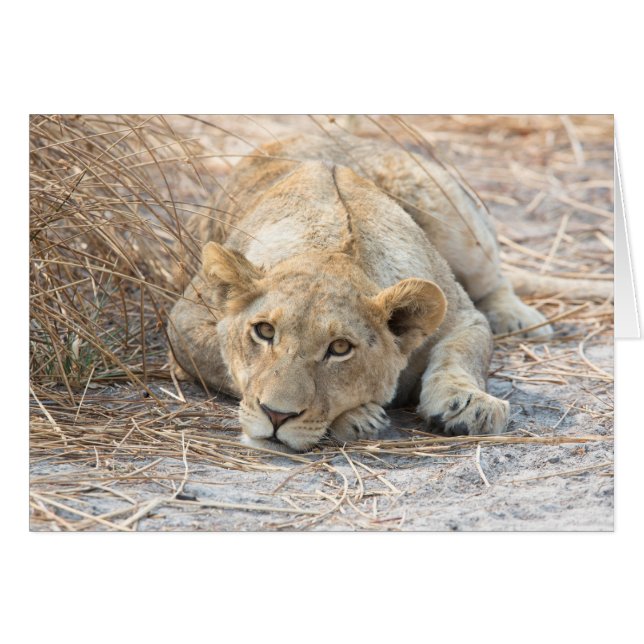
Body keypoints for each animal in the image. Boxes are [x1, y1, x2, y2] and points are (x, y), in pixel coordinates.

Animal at [167, 133, 552, 451]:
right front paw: (357, 416)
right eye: (264, 331)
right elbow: (224, 365)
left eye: (340, 348)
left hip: (452, 216)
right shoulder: (183, 323)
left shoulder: (463, 316)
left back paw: (517, 317)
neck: (331, 246)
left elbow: (462, 353)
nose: (276, 415)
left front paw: (471, 405)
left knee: (494, 277)